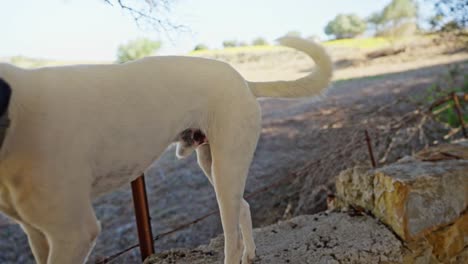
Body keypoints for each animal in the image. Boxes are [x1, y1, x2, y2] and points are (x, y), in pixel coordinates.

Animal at [0, 37, 330, 264]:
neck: (18, 120)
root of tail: (245, 81)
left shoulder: (74, 233)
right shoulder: (38, 235)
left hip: (227, 168)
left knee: (232, 237)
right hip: (212, 166)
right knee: (244, 208)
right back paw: (250, 254)